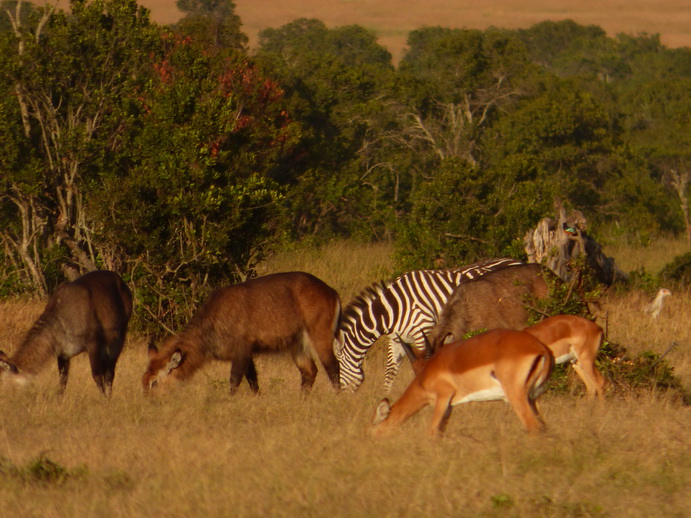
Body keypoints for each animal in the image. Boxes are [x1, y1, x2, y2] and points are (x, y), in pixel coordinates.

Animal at [0, 272, 132, 398]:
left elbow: (96, 375)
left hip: (119, 336)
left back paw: (109, 396)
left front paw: (103, 398)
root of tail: (121, 281)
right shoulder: (63, 353)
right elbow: (63, 379)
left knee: (110, 371)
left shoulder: (93, 344)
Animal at [143, 270, 344, 396]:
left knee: (333, 367)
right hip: (297, 343)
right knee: (310, 370)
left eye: (154, 382)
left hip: (320, 335)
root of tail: (332, 292)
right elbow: (253, 381)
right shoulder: (246, 354)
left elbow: (234, 381)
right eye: (143, 380)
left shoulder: (242, 350)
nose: (148, 402)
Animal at [336, 260, 524, 394]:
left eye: (338, 364)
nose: (341, 397)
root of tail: (515, 260)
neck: (392, 310)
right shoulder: (396, 340)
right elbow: (390, 371)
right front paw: (385, 399)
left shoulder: (423, 331)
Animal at [370, 330, 556, 438]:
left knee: (533, 426)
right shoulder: (449, 406)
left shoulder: (442, 399)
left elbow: (431, 432)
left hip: (516, 396)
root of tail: (541, 349)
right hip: (532, 397)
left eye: (371, 431)